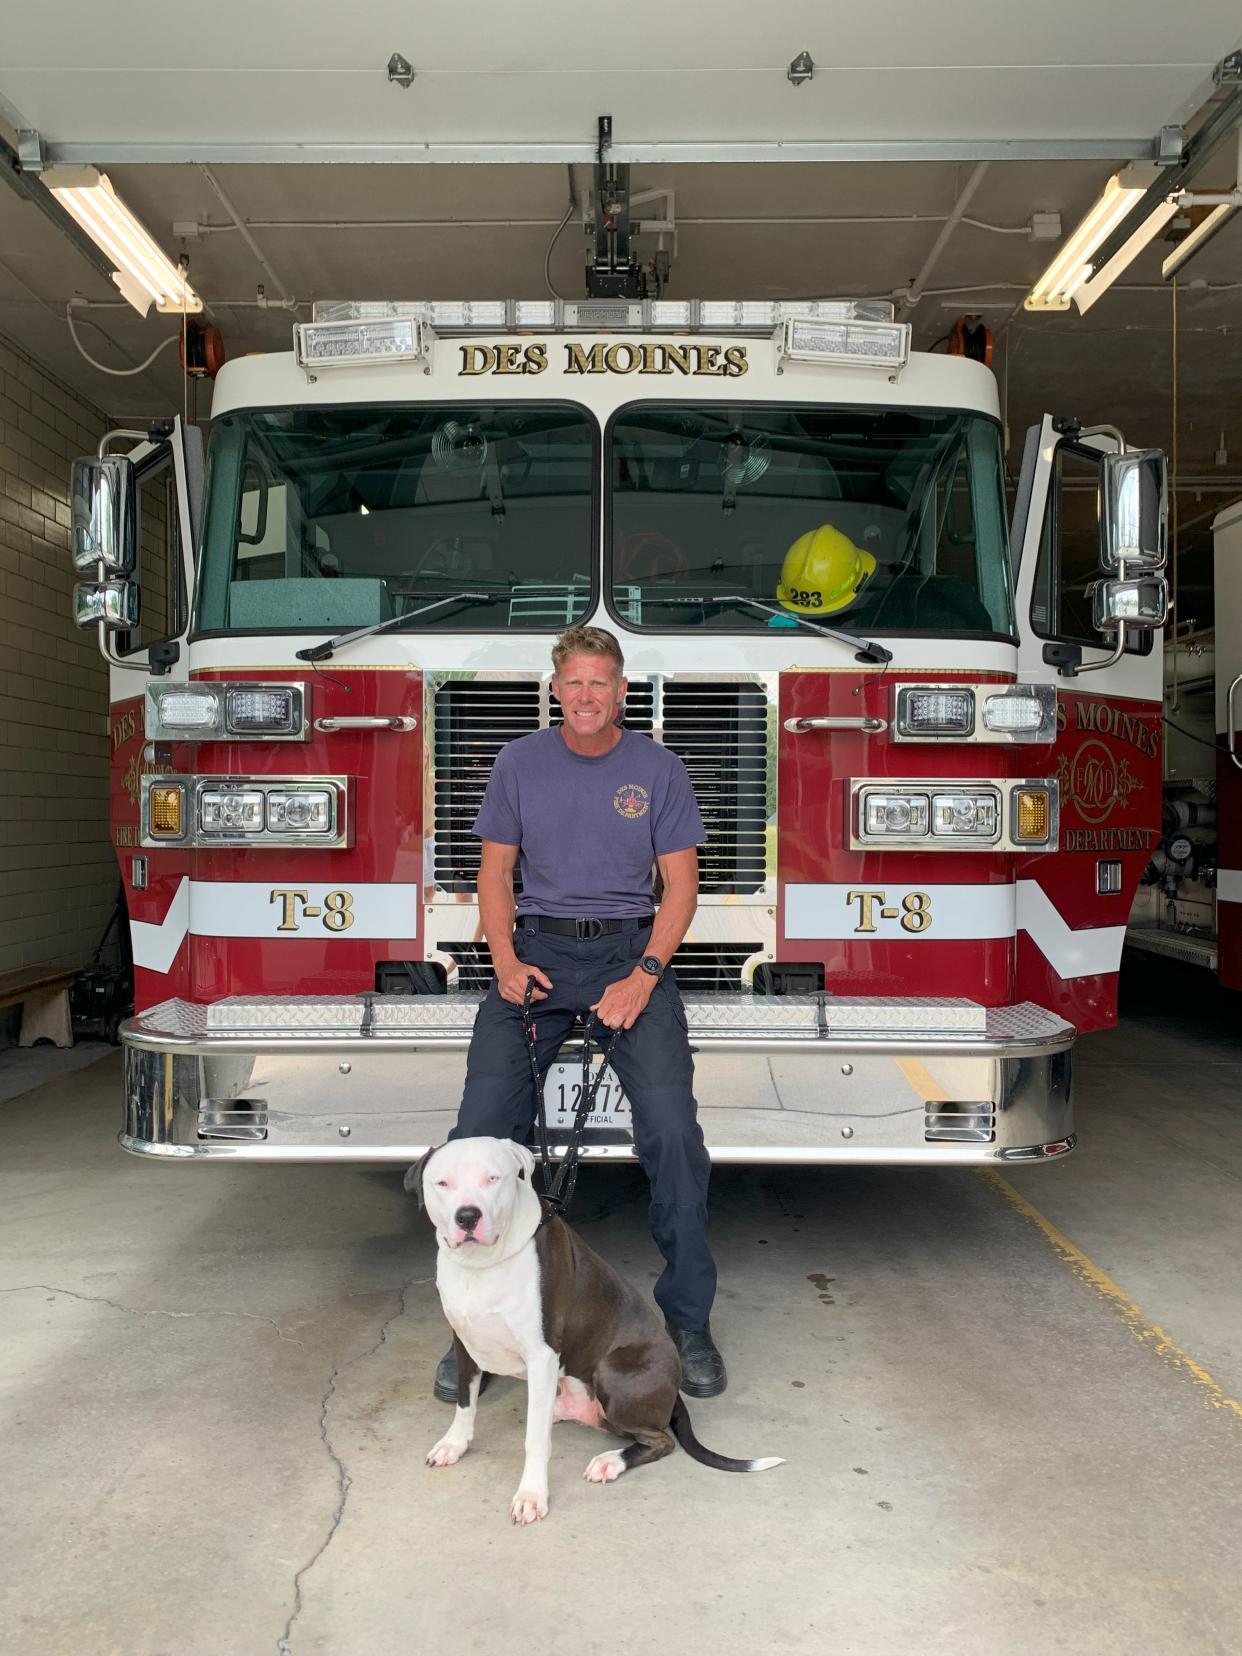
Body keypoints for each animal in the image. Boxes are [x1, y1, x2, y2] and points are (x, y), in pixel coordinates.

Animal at [404, 1139, 781, 1523]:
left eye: (493, 1178)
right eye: (442, 1183)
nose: (467, 1216)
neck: (482, 1265)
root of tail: (673, 1390)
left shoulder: (541, 1354)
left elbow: (534, 1441)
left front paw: (532, 1494)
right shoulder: (464, 1341)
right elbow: (465, 1404)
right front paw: (454, 1444)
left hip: (612, 1372)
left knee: (659, 1440)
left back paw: (611, 1461)